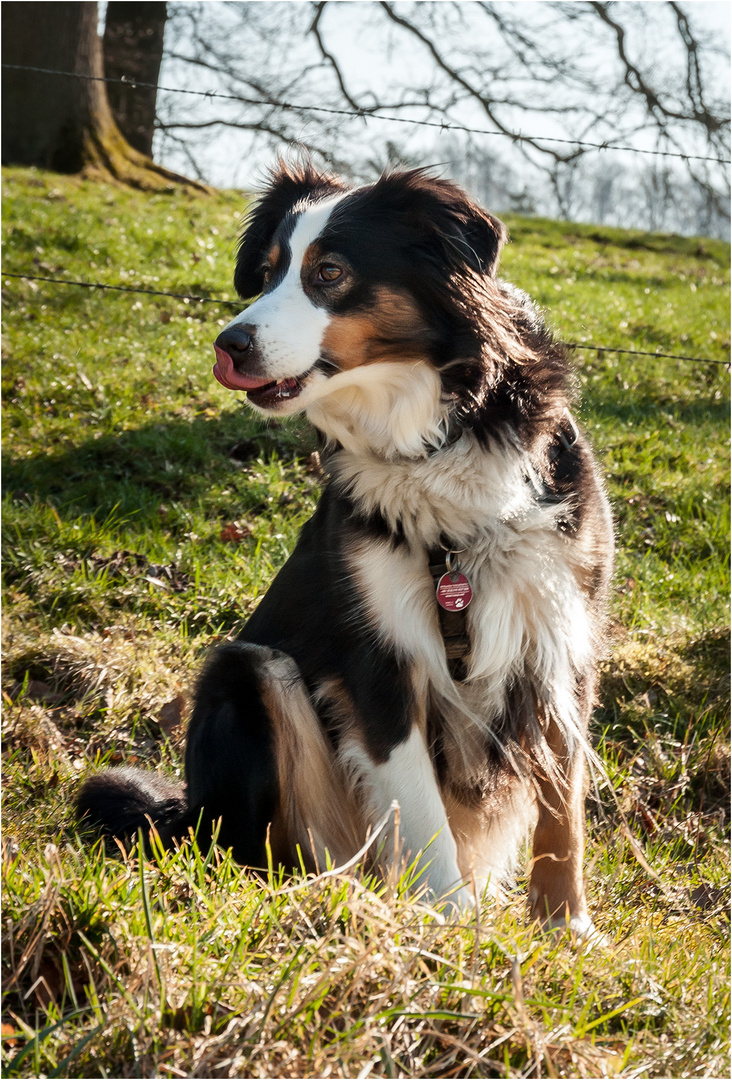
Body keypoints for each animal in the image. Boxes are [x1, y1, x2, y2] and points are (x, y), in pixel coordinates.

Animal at [76, 162, 613, 937]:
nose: (228, 345)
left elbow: (562, 802)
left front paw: (565, 929)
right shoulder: (379, 655)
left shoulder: (560, 628)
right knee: (263, 849)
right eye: (268, 271)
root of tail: (187, 811)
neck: (437, 439)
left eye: (328, 272)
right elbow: (420, 807)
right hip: (248, 673)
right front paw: (451, 930)